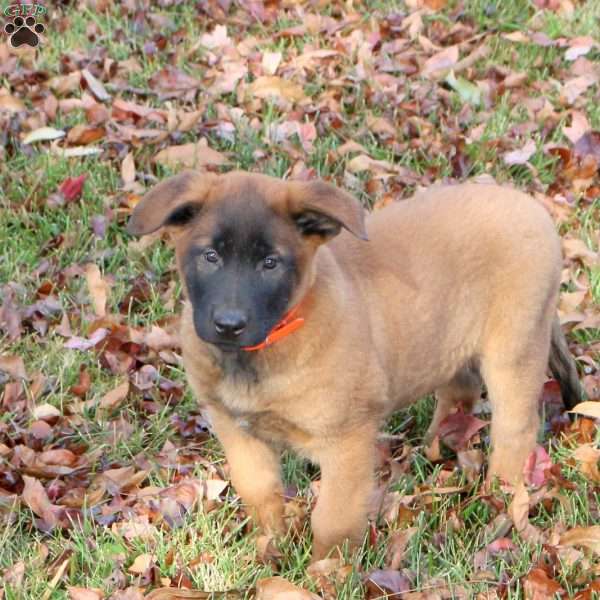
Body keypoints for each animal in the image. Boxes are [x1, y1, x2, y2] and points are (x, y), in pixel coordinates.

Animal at [127, 171, 580, 560]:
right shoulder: (233, 427)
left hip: (514, 350)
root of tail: (531, 206)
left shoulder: (346, 439)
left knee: (515, 432)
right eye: (210, 257)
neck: (262, 353)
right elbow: (259, 491)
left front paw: (325, 573)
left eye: (271, 263)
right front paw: (271, 548)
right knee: (460, 390)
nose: (229, 324)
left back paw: (497, 504)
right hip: (450, 340)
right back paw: (435, 449)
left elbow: (333, 518)